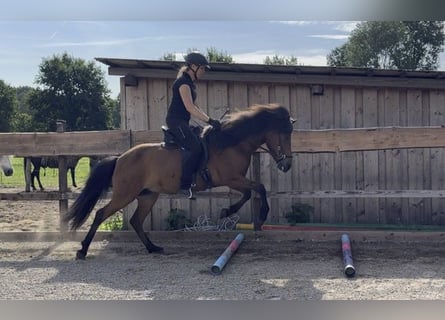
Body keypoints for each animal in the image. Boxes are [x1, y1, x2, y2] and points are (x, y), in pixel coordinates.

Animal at [64, 105, 294, 260]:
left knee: (136, 221)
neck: (231, 143)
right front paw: (257, 215)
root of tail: (120, 158)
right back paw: (82, 250)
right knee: (101, 214)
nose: (287, 165)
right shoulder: (231, 178)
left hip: (148, 195)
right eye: (284, 135)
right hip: (125, 194)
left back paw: (153, 248)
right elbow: (258, 188)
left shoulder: (235, 180)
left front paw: (228, 211)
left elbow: (251, 192)